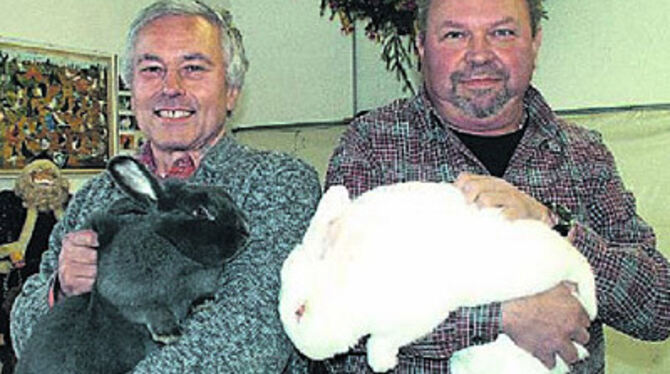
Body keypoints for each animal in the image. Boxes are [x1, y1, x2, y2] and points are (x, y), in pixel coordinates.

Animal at [16, 155, 252, 374]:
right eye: (200, 211)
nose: (246, 231)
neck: (172, 244)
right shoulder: (125, 294)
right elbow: (152, 307)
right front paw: (168, 333)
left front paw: (204, 302)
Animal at [278, 180, 600, 372]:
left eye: (300, 310)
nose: (305, 350)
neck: (348, 271)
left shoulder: (418, 314)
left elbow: (384, 339)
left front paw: (381, 362)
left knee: (580, 266)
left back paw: (590, 305)